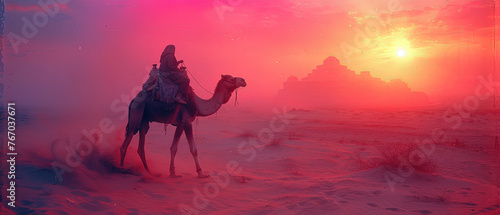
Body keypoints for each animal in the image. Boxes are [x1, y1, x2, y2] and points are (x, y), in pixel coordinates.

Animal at [119, 74, 248, 177]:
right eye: (231, 78)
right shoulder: (187, 122)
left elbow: (174, 148)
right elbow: (193, 149)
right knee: (128, 139)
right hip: (137, 110)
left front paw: (173, 173)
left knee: (141, 144)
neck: (199, 104)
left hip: (145, 119)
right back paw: (122, 169)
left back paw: (148, 172)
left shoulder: (180, 125)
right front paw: (201, 173)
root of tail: (133, 100)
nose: (243, 80)